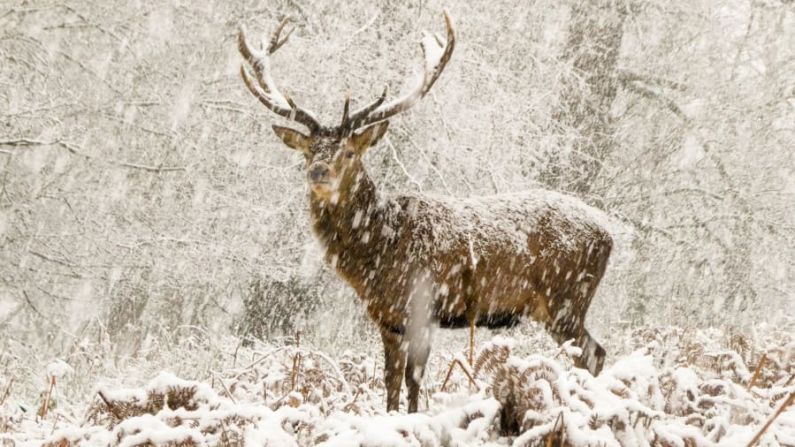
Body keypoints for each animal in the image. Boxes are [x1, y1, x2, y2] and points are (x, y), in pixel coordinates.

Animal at [239, 12, 612, 414]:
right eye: (309, 151)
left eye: (350, 152)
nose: (319, 171)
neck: (378, 250)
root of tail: (609, 233)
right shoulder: (388, 318)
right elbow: (390, 380)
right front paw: (389, 418)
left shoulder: (423, 306)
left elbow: (414, 379)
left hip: (566, 298)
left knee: (591, 353)